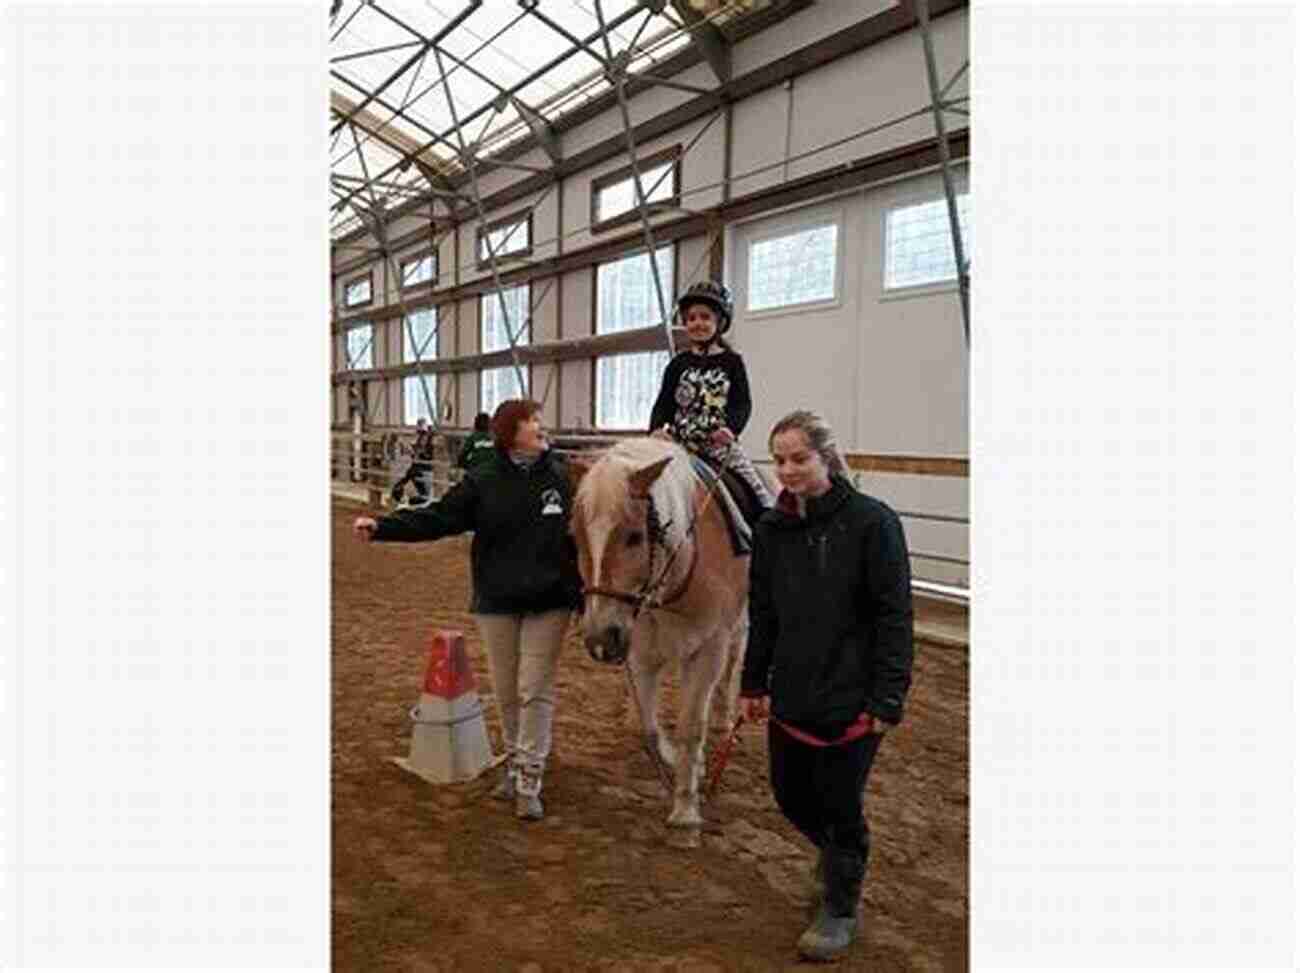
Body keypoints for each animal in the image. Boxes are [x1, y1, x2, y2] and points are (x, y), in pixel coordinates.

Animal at [572, 437, 754, 848]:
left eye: (635, 536)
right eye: (576, 536)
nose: (599, 639)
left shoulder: (708, 649)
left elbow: (691, 727)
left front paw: (686, 812)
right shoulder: (639, 650)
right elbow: (650, 728)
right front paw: (675, 761)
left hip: (738, 627)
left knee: (731, 672)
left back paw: (724, 723)